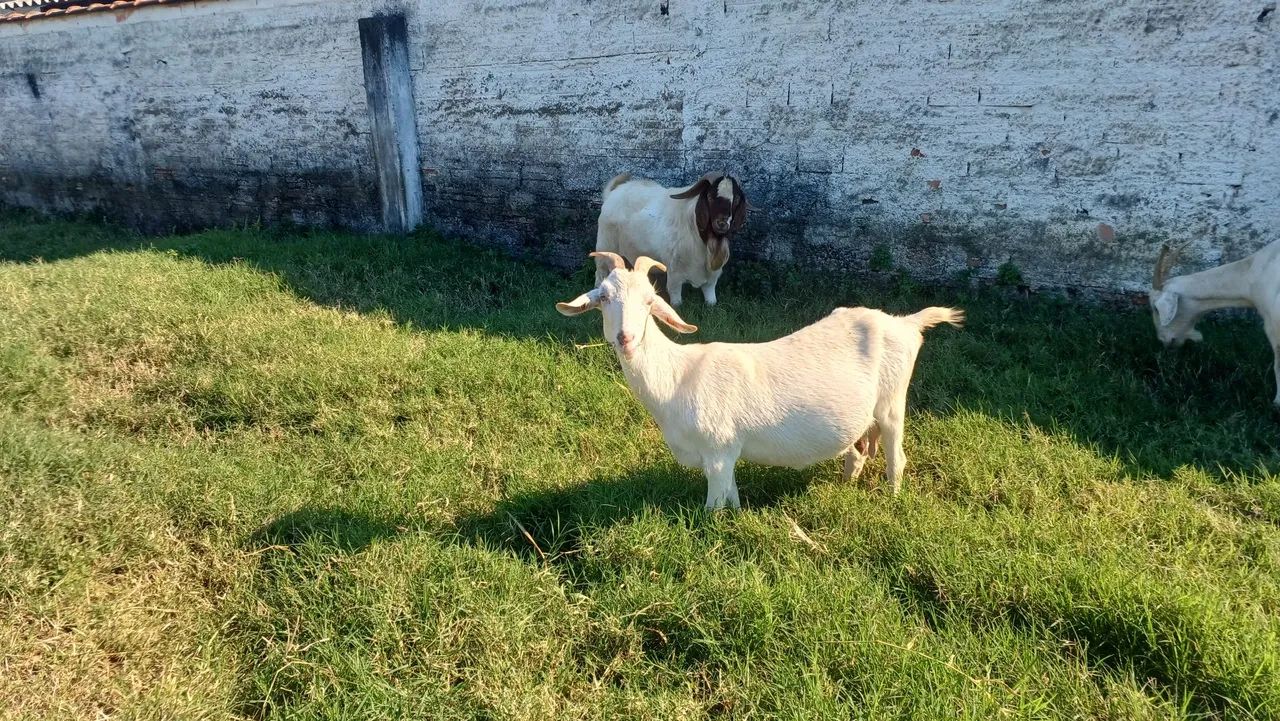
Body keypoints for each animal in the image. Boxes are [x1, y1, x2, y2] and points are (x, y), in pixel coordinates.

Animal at [557, 251, 963, 509]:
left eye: (648, 301)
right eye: (604, 297)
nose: (625, 338)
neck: (677, 376)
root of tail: (906, 323)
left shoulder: (717, 450)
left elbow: (714, 508)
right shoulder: (724, 455)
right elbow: (733, 499)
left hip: (892, 403)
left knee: (897, 455)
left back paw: (891, 498)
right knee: (859, 451)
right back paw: (847, 484)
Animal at [594, 171, 747, 307]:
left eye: (736, 199)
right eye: (710, 195)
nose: (722, 223)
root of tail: (611, 194)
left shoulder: (712, 274)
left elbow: (710, 294)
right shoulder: (675, 270)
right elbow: (675, 295)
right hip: (604, 247)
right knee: (600, 273)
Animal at [1149, 239, 1280, 408]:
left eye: (1155, 308)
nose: (1163, 340)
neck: (1252, 273)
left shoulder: (1273, 326)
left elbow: (1277, 366)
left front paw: (1277, 402)